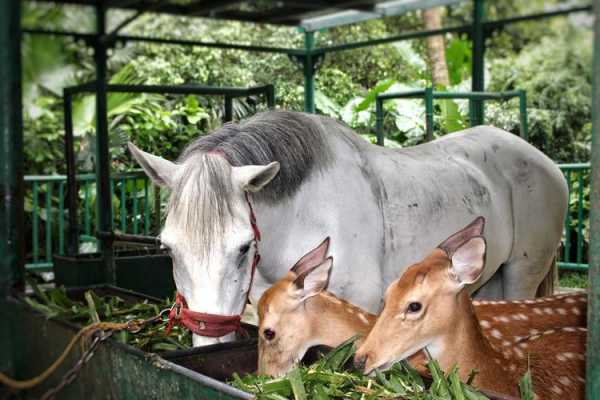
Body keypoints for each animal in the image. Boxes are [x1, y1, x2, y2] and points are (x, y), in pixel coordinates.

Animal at [130, 110, 568, 346]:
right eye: (167, 248)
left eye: (242, 247)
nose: (209, 336)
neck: (303, 214)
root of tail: (549, 165)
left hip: (521, 274)